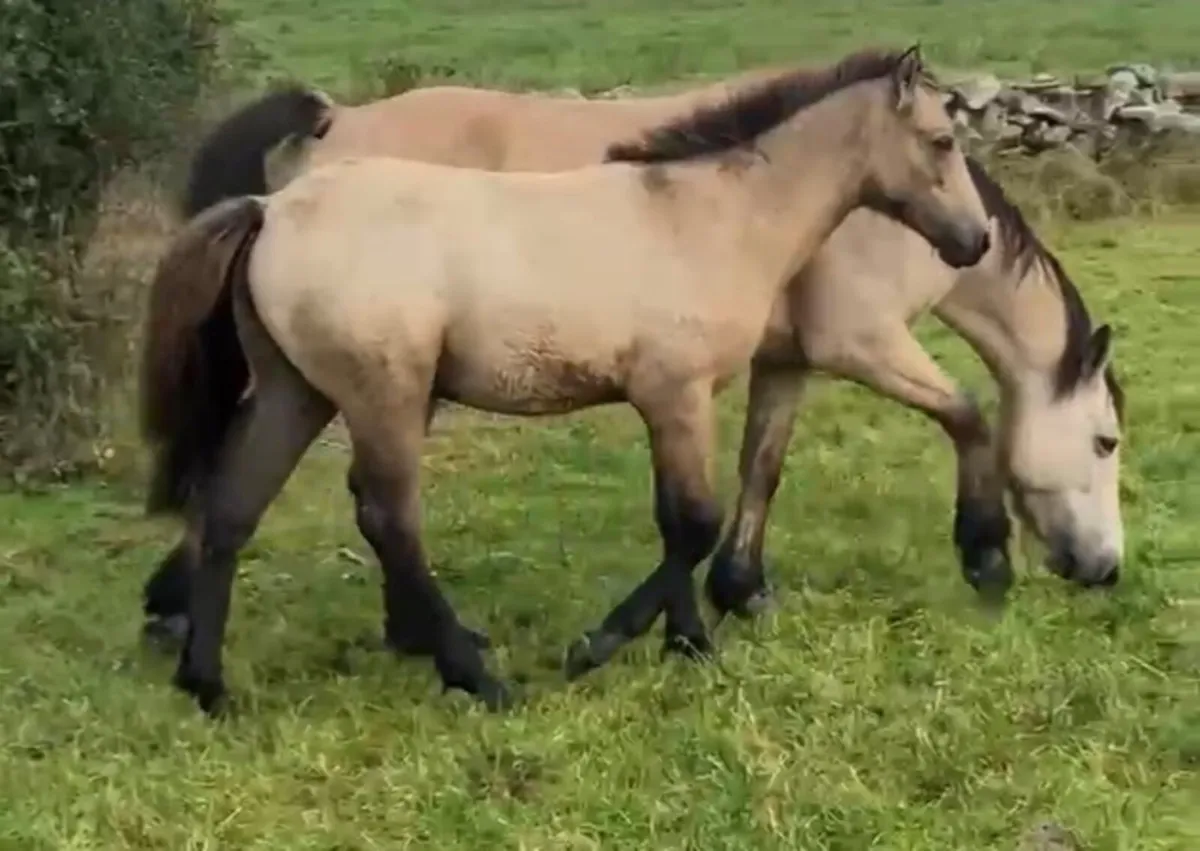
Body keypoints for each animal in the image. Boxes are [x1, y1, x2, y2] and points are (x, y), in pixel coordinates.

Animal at [151, 45, 1127, 645]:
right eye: (1106, 441)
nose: (1106, 570)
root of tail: (330, 123)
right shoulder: (860, 341)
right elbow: (969, 415)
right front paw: (984, 554)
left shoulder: (784, 360)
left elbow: (760, 466)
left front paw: (739, 590)